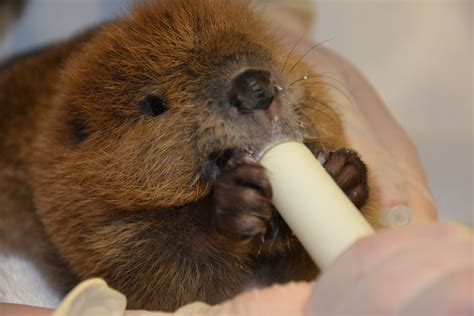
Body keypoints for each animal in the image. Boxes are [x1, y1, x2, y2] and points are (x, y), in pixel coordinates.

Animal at [0, 0, 378, 312]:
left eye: (249, 42)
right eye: (155, 104)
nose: (254, 88)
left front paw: (345, 174)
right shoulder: (74, 220)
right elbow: (156, 281)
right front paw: (234, 201)